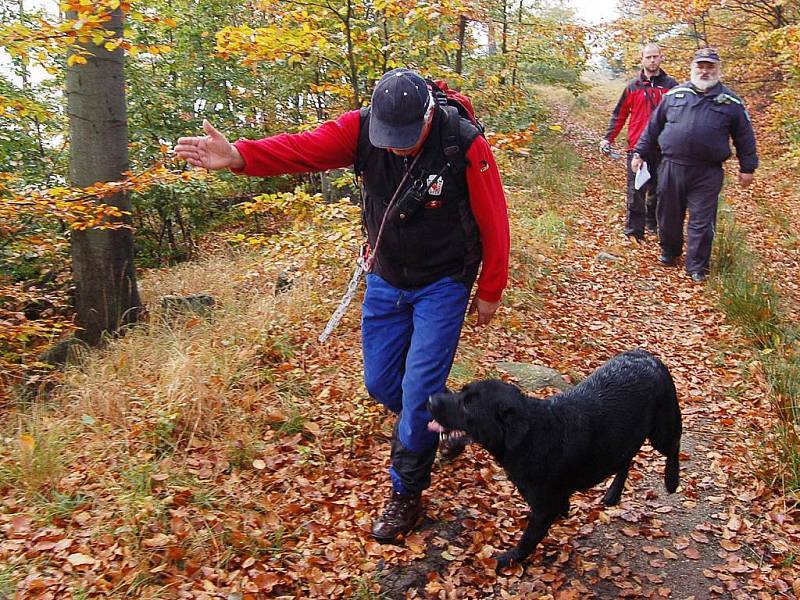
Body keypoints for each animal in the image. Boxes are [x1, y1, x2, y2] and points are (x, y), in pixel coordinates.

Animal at [428, 350, 684, 564]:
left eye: (469, 406)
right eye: (462, 392)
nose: (431, 399)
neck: (533, 435)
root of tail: (647, 355)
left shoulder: (544, 508)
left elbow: (528, 539)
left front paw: (508, 559)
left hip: (662, 431)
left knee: (673, 448)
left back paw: (672, 480)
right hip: (625, 437)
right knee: (626, 458)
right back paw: (613, 493)